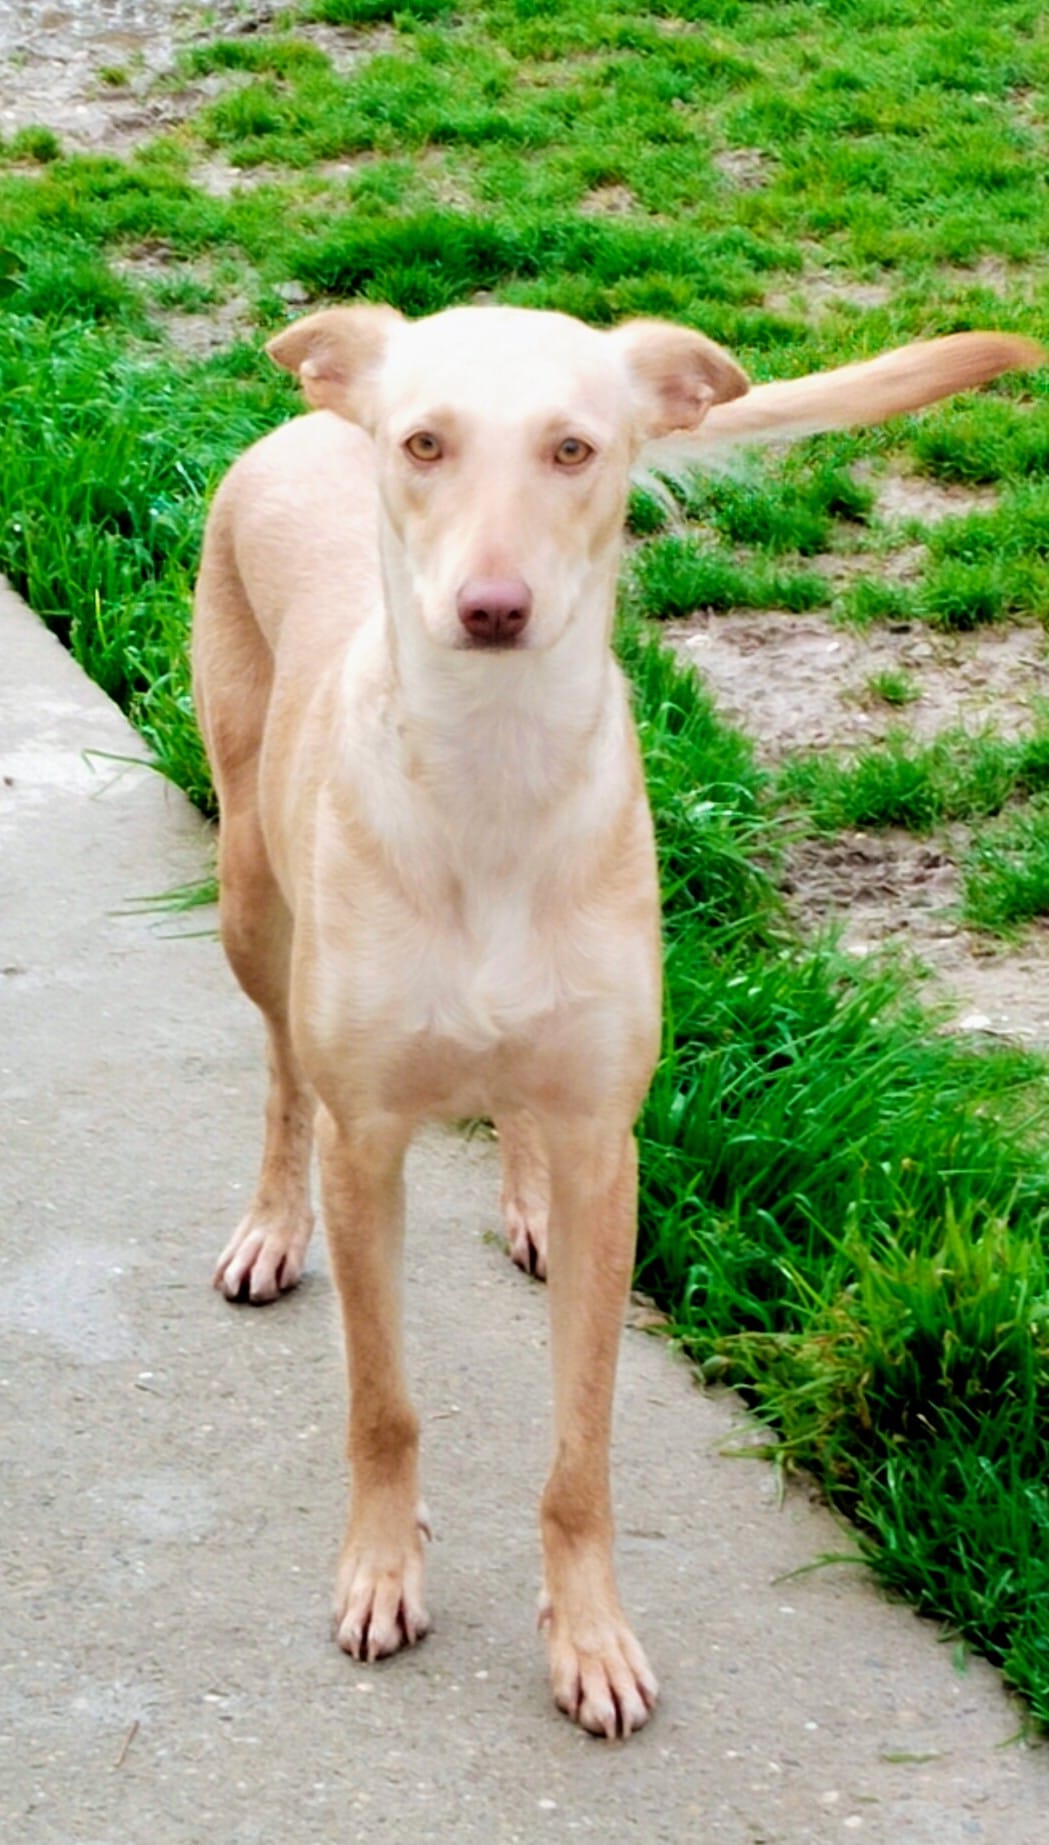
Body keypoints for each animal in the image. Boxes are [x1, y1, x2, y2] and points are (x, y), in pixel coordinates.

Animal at [192, 304, 1039, 1736]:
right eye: (424, 444)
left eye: (574, 449)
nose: (491, 609)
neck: (489, 775)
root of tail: (307, 421)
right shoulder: (367, 1147)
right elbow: (382, 1405)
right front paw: (382, 1572)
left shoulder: (608, 1144)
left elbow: (579, 1450)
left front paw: (586, 1636)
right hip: (251, 897)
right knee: (277, 1075)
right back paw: (269, 1224)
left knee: (513, 1111)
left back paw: (524, 1204)